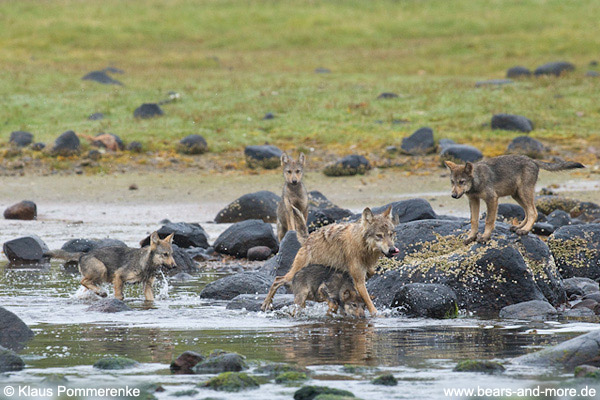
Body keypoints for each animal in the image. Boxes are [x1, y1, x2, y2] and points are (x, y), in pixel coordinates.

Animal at [47, 233, 176, 302]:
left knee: (86, 287)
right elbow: (119, 295)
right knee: (83, 281)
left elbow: (150, 299)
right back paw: (101, 292)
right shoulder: (118, 276)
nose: (175, 266)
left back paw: (98, 293)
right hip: (101, 270)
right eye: (165, 254)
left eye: (171, 254)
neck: (146, 263)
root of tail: (83, 254)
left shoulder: (147, 286)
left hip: (98, 278)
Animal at [262, 206, 398, 316]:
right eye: (379, 236)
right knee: (277, 279)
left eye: (391, 234)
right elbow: (369, 302)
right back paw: (266, 304)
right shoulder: (359, 281)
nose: (392, 249)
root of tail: (308, 238)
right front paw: (377, 315)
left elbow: (371, 273)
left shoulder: (362, 273)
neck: (361, 245)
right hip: (294, 274)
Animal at [446, 155, 584, 244]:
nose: (453, 195)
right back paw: (519, 227)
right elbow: (474, 220)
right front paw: (471, 237)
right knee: (528, 212)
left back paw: (524, 230)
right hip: (517, 195)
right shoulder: (473, 200)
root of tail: (532, 160)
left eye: (461, 182)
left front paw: (485, 237)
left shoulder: (492, 199)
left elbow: (488, 221)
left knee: (533, 212)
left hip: (523, 193)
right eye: (452, 182)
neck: (477, 180)